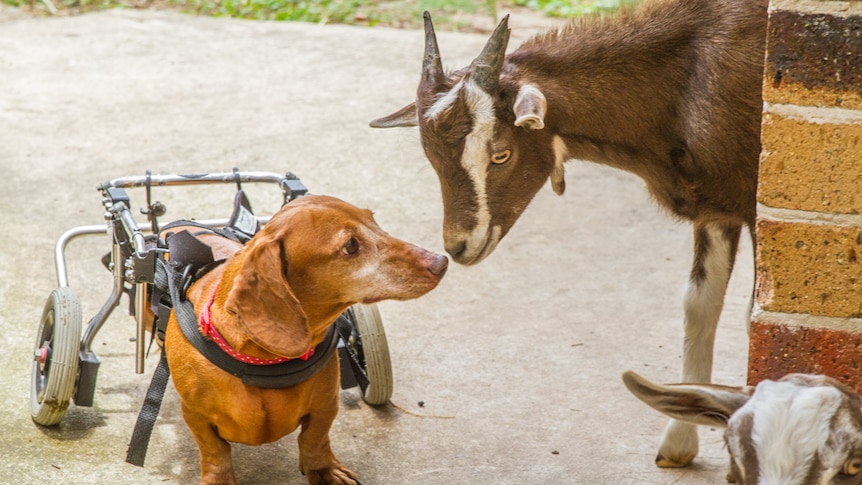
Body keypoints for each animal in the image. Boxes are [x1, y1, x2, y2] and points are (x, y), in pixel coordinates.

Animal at [372, 0, 768, 468]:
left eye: (501, 154)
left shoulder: (755, 208)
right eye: (432, 158)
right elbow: (699, 306)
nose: (459, 246)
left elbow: (753, 318)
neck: (689, 78)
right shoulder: (715, 210)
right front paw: (678, 443)